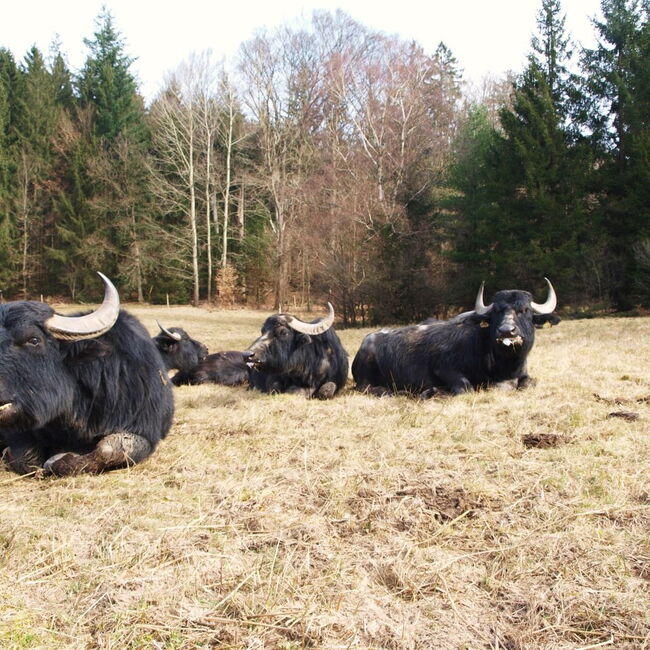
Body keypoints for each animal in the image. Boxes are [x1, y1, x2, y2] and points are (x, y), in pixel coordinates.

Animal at [352, 278, 559, 397]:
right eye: (496, 311)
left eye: (524, 310)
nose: (506, 331)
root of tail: (365, 343)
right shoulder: (444, 369)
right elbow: (465, 388)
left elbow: (530, 382)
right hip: (365, 380)